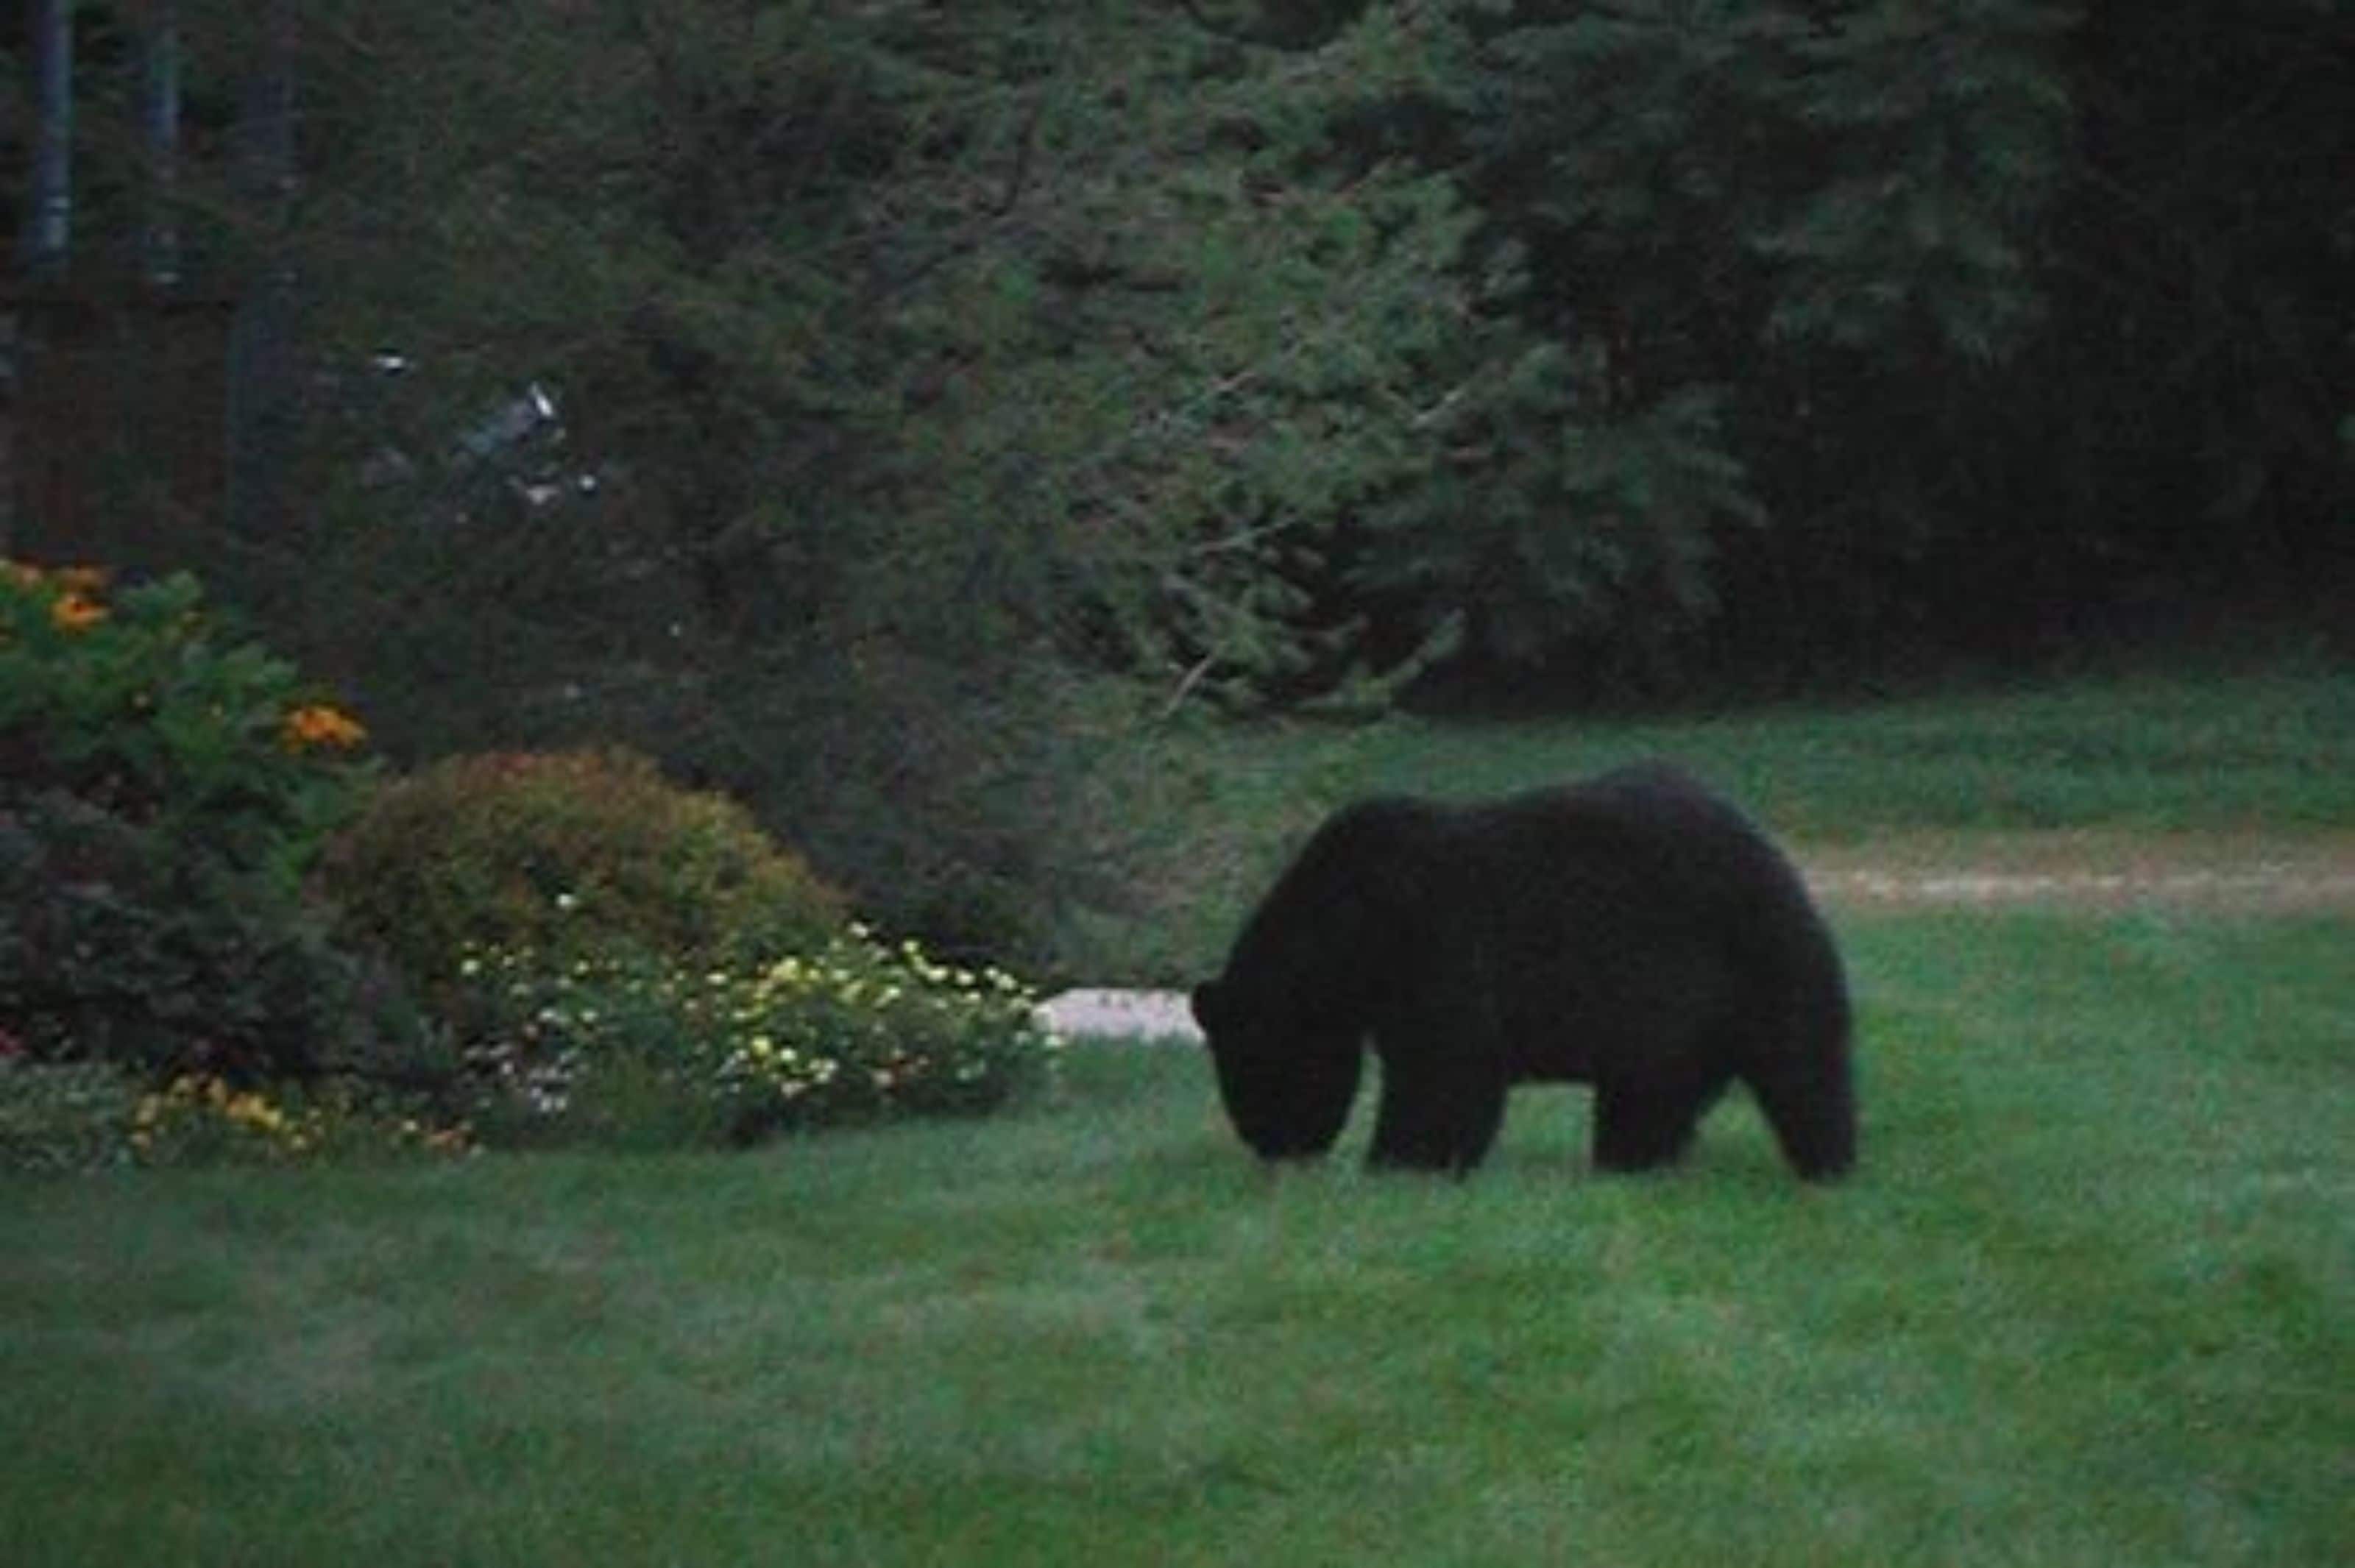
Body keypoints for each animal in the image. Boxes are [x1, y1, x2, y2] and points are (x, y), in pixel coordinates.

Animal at [1189, 762, 1854, 1180]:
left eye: (1251, 1075)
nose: (1274, 1149)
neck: (1345, 923)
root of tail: (1775, 852)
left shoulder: (1429, 935)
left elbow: (1446, 1062)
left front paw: (1399, 1161)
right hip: (1676, 1016)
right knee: (1650, 1091)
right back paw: (1627, 1161)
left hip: (1757, 954)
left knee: (1801, 1065)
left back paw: (1827, 1163)